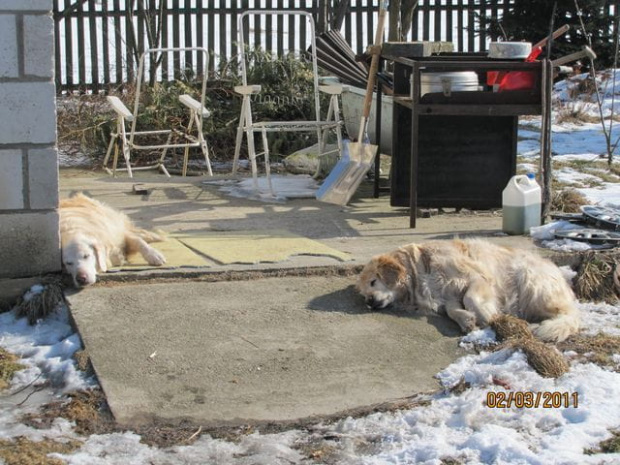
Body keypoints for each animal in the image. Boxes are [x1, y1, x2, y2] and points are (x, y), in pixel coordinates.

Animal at [358, 239, 580, 340]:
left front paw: (487, 316)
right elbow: (453, 310)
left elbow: (471, 299)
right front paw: (467, 320)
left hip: (531, 283)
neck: (421, 268)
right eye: (363, 294)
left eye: (373, 282)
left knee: (568, 315)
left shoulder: (476, 278)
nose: (369, 302)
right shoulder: (447, 295)